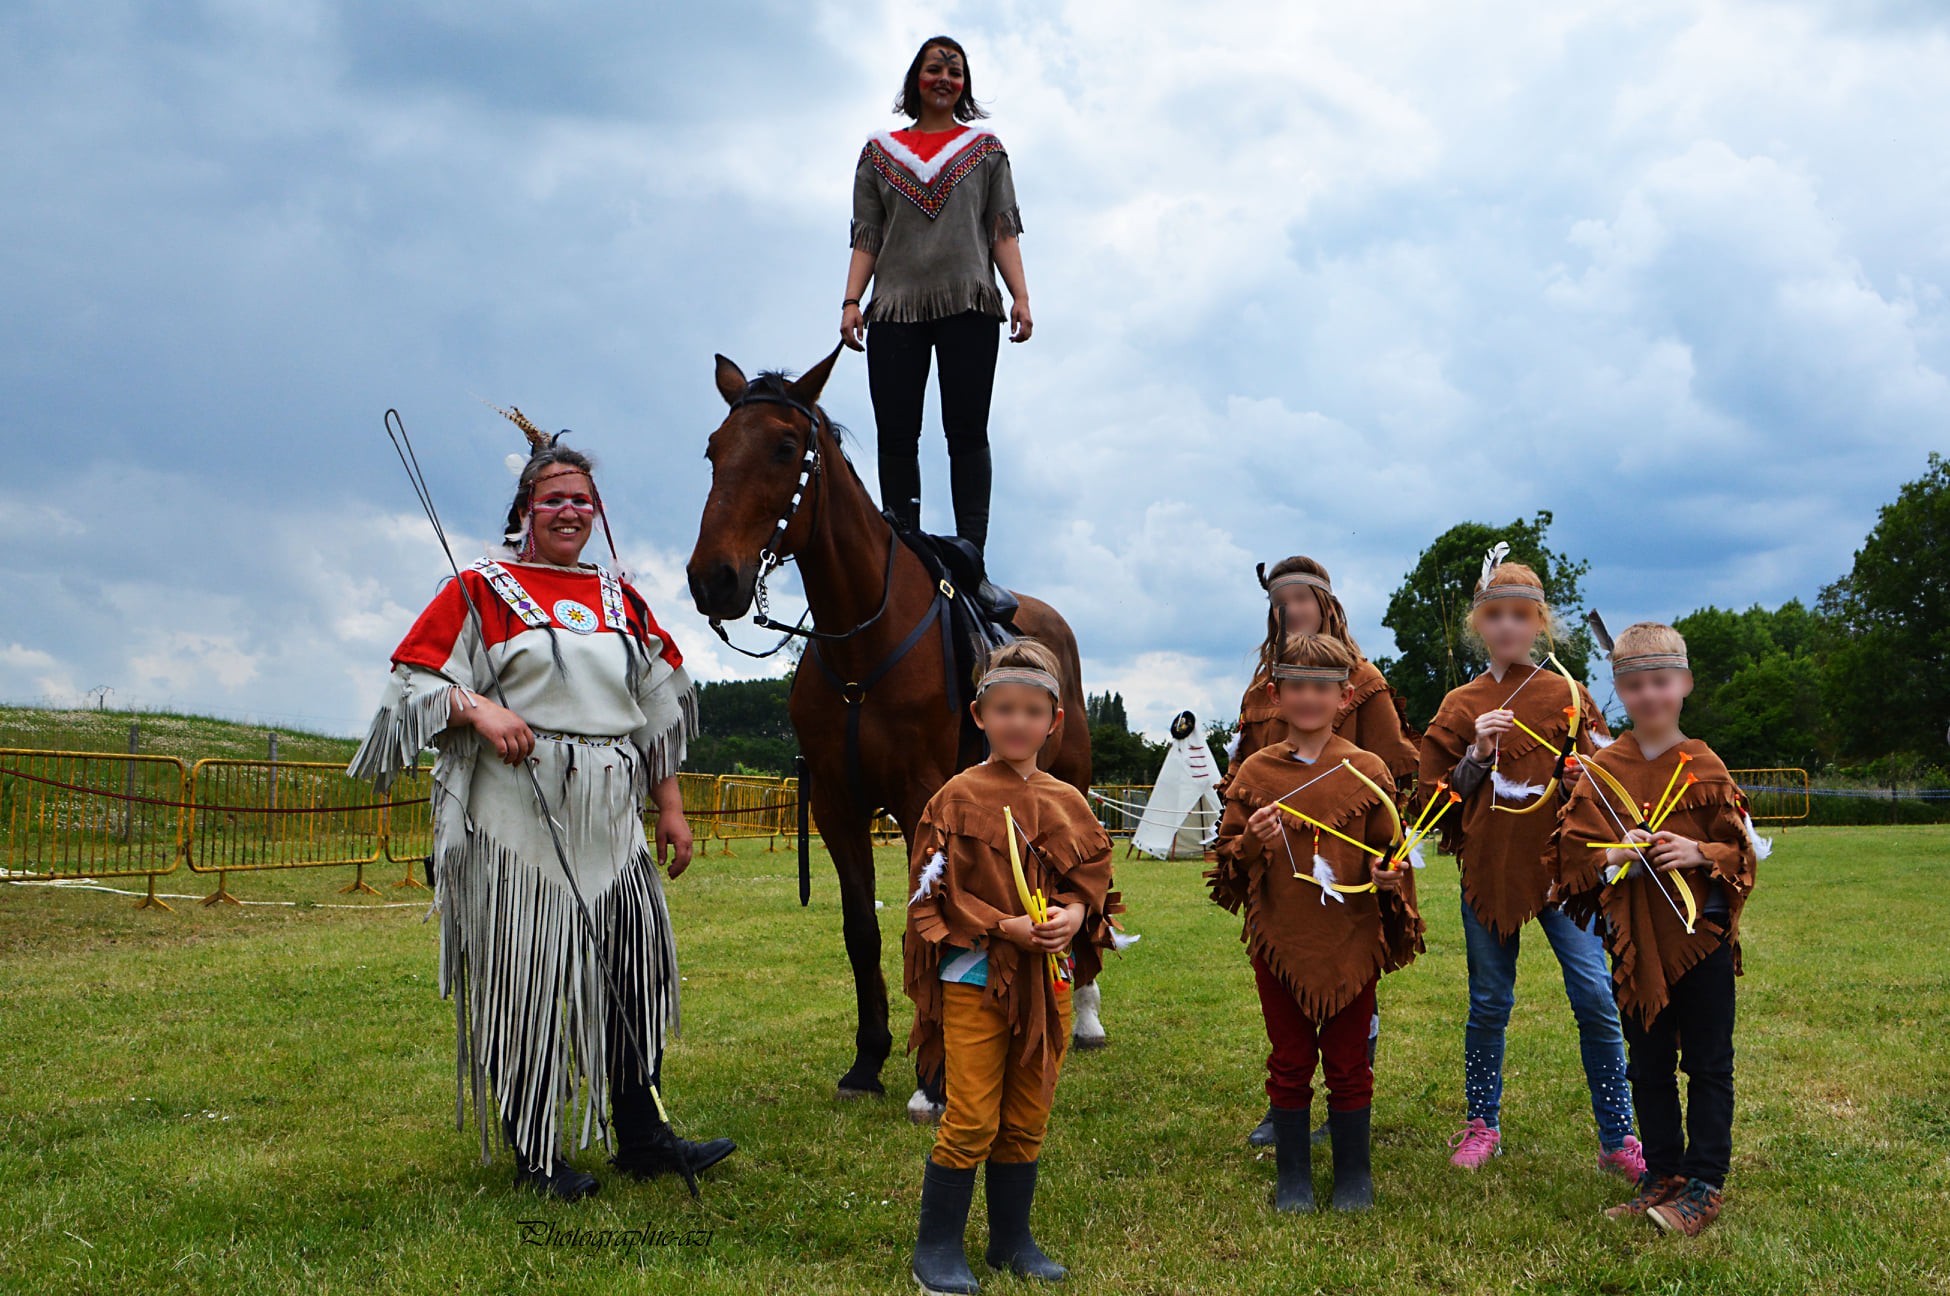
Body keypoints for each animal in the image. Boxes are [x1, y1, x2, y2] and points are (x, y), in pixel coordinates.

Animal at [682, 346, 1099, 1099]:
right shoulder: (838, 805)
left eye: (784, 447)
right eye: (714, 450)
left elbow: (925, 928)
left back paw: (1082, 1018)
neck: (860, 645)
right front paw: (869, 1057)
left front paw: (936, 1072)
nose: (713, 578)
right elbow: (863, 931)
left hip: (1071, 787)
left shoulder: (917, 799)